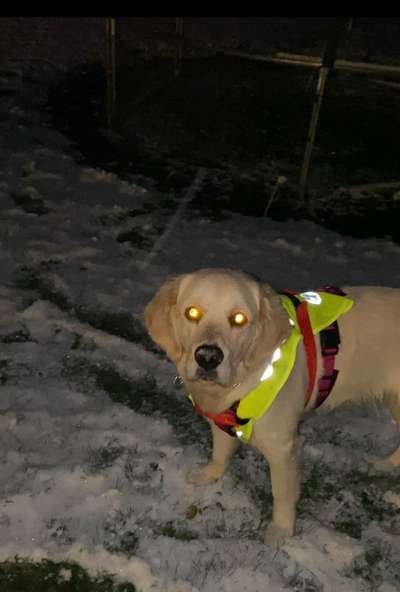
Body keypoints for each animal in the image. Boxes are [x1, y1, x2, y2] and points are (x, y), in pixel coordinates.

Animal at [144, 268, 400, 540]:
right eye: (192, 312)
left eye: (239, 319)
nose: (208, 357)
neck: (246, 376)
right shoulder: (221, 419)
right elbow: (220, 453)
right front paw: (210, 475)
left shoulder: (282, 447)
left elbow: (282, 493)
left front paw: (281, 531)